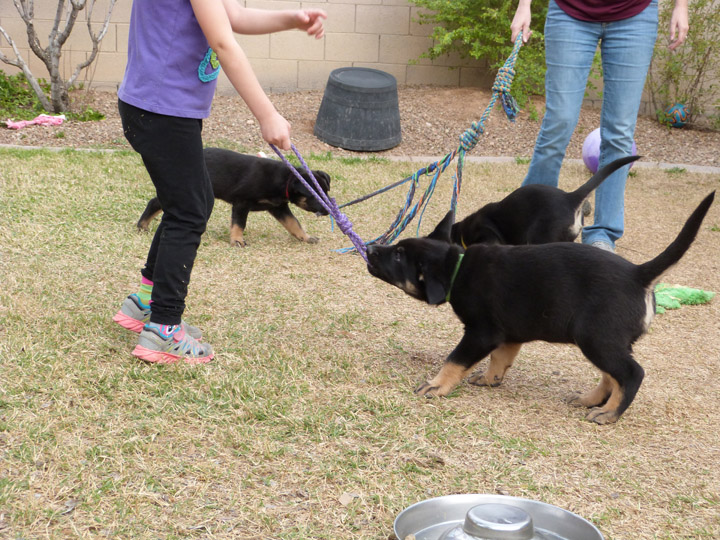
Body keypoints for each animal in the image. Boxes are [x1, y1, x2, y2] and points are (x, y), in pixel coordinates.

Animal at [368, 192, 716, 424]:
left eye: (398, 255)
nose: (371, 249)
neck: (457, 267)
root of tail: (638, 274)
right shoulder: (509, 334)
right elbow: (501, 359)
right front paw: (491, 379)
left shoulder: (481, 333)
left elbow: (455, 360)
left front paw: (436, 385)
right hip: (605, 340)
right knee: (612, 375)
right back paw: (590, 400)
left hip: (594, 336)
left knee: (631, 374)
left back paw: (609, 412)